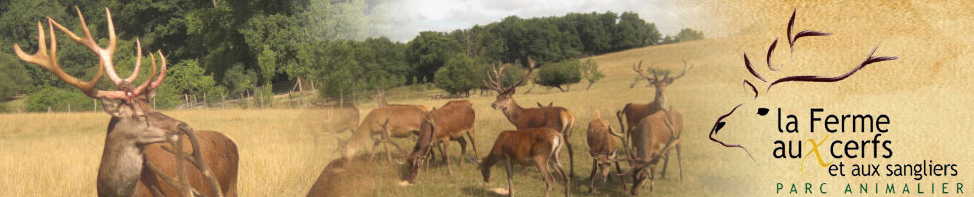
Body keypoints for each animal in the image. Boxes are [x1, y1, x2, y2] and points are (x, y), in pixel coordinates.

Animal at [14, 6, 239, 196]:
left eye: (149, 105)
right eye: (140, 113)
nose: (182, 125)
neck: (116, 193)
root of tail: (232, 142)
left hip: (231, 187)